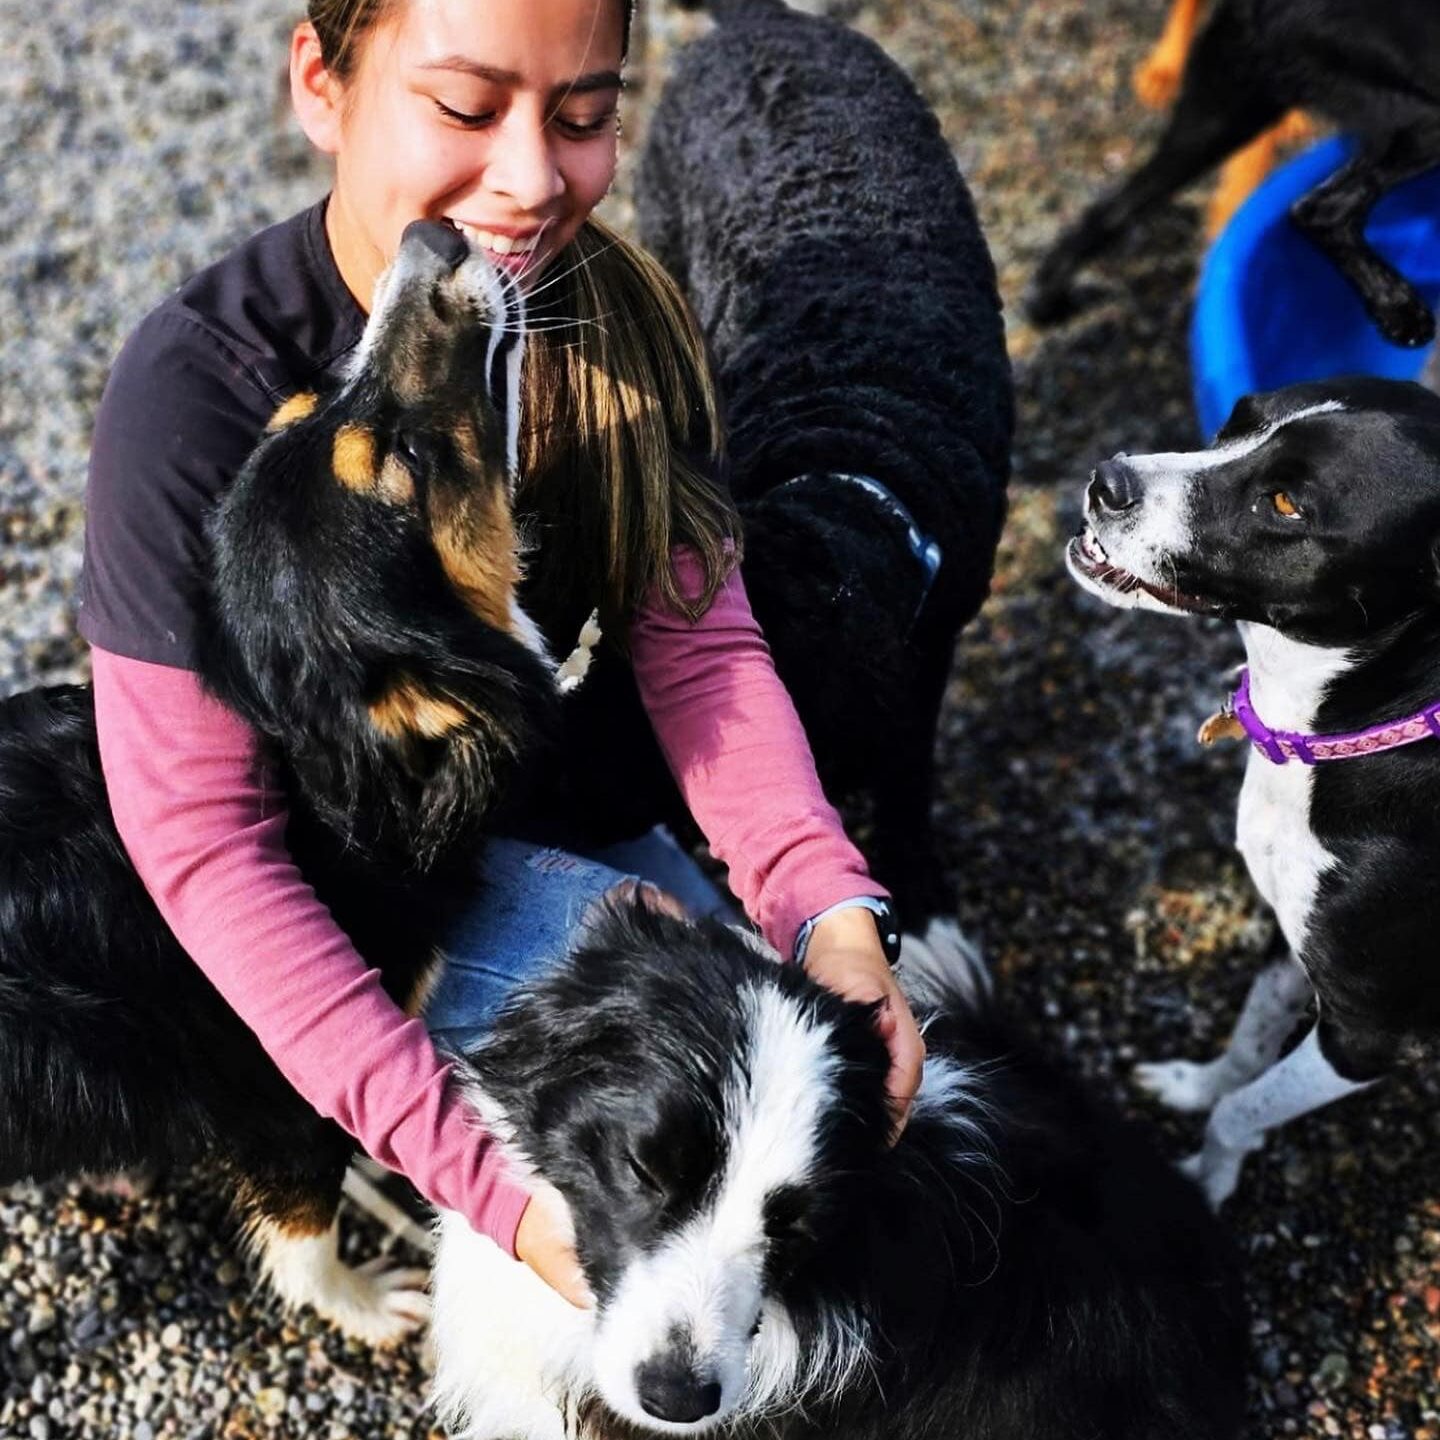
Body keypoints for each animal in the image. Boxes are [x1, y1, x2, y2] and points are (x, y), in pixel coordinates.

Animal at [0, 218, 555, 1342]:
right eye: (400, 461)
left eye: (308, 405)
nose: (430, 234)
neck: (333, 795)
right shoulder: (272, 1090)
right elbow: (304, 1226)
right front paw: (365, 1302)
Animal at [1071, 380, 1440, 1203]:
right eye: (1237, 420)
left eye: (1285, 503)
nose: (1107, 482)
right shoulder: (1286, 931)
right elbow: (1245, 1048)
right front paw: (1191, 1085)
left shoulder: (1367, 1035)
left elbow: (1242, 1109)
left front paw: (1204, 1186)